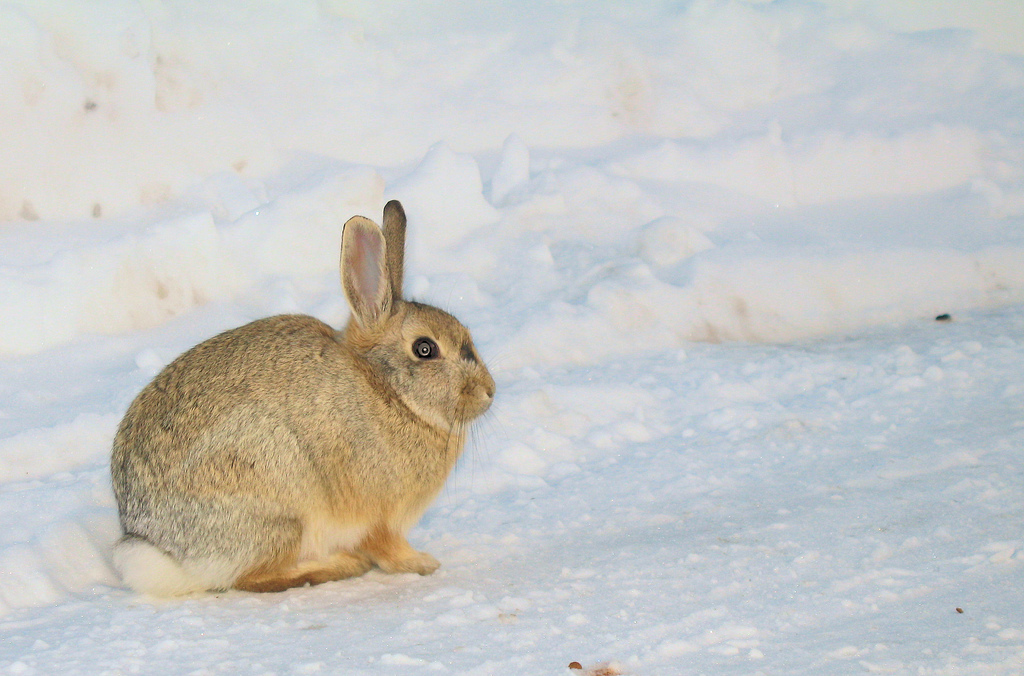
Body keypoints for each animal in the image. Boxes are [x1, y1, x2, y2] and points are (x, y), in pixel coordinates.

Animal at [110, 200, 493, 598]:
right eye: (425, 349)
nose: (488, 391)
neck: (389, 392)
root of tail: (166, 553)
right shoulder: (377, 515)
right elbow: (386, 546)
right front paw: (420, 563)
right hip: (281, 514)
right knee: (253, 578)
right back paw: (337, 566)